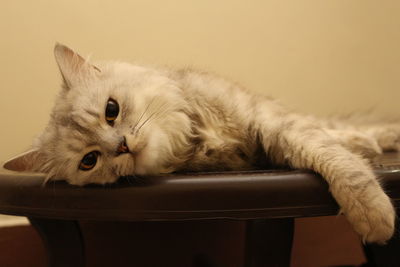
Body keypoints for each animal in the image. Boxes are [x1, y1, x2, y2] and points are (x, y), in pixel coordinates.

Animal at [2, 43, 396, 245]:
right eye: (89, 160)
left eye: (111, 111)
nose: (122, 147)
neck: (196, 135)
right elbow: (329, 150)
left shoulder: (269, 119)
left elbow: (335, 157)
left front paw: (372, 212)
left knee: (335, 127)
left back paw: (381, 136)